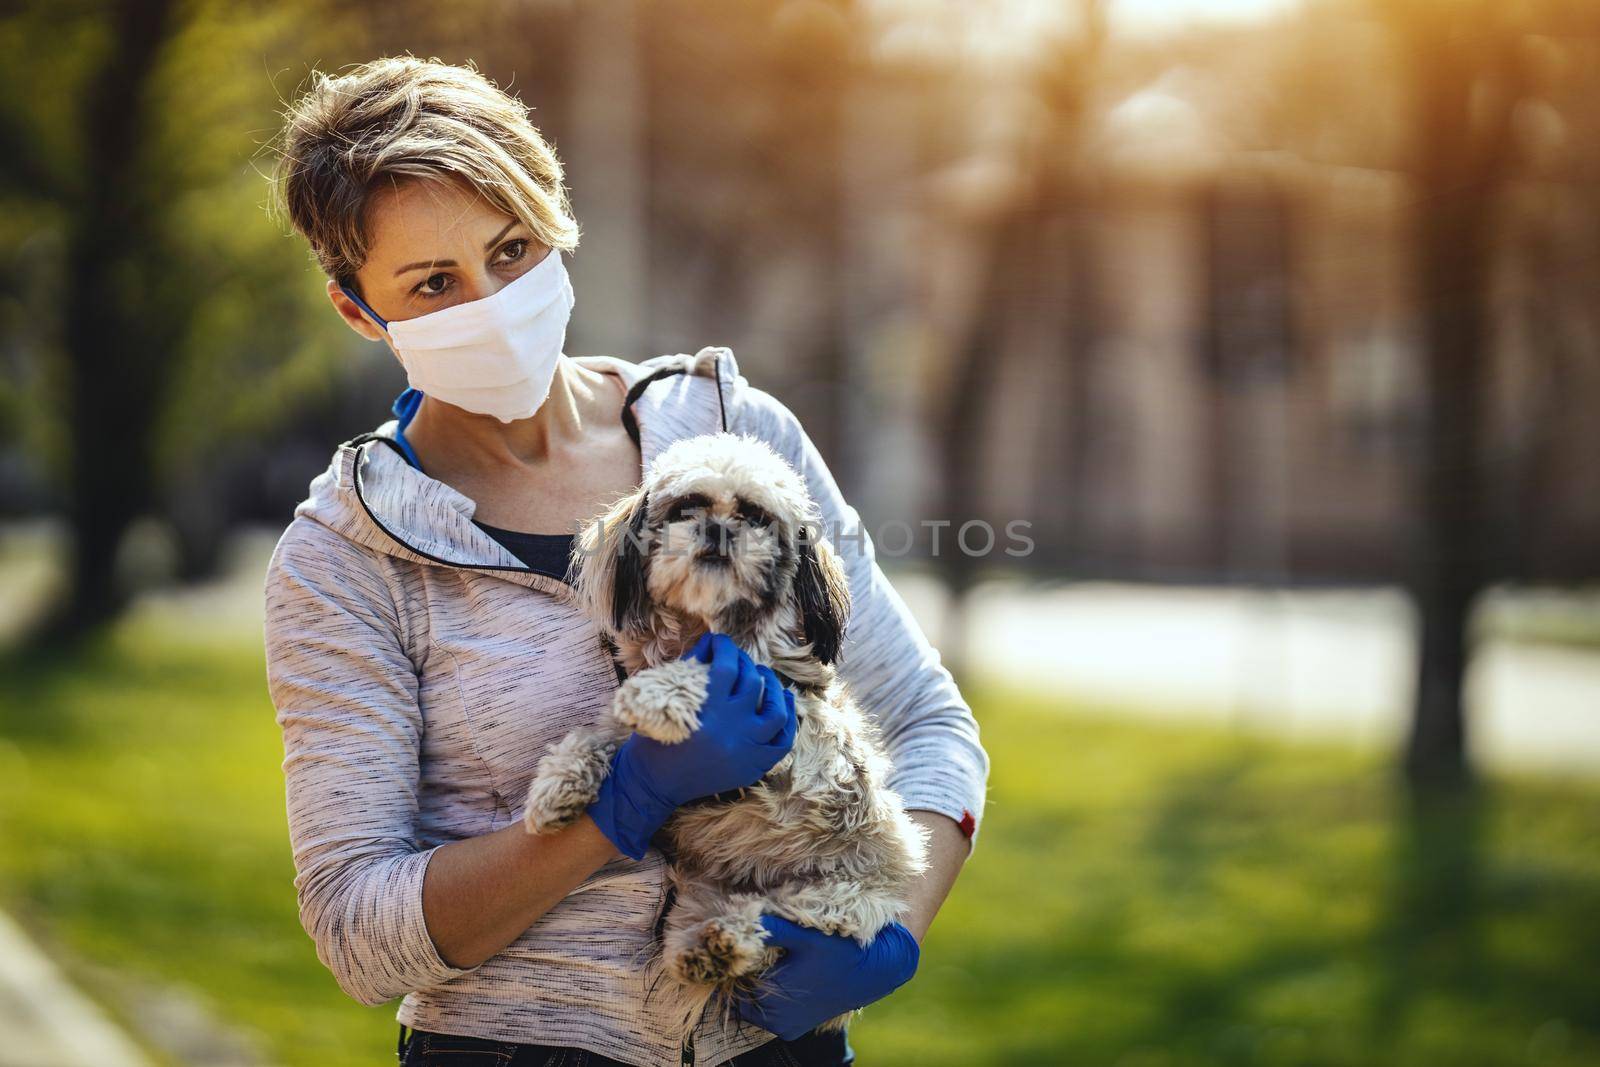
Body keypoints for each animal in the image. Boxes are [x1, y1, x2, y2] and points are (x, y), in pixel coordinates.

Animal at [524, 428, 928, 1036]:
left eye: (755, 515)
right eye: (686, 507)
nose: (716, 529)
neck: (705, 628)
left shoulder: (792, 727)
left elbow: (706, 675)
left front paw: (662, 690)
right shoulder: (634, 739)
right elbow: (597, 737)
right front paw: (557, 786)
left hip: (840, 900)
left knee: (779, 925)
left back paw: (731, 940)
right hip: (696, 893)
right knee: (705, 923)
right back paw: (703, 948)